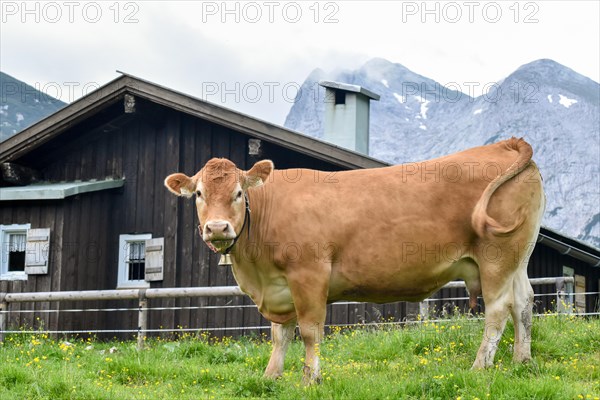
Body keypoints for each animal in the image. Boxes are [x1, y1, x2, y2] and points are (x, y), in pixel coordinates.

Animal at [163, 138, 544, 384]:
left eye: (238, 193)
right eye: (199, 194)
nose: (217, 227)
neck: (257, 272)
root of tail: (506, 143)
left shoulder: (309, 274)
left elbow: (310, 332)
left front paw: (310, 379)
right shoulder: (279, 287)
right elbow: (279, 334)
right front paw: (271, 377)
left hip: (495, 257)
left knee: (498, 310)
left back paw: (480, 366)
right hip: (519, 258)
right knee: (523, 302)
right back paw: (522, 361)